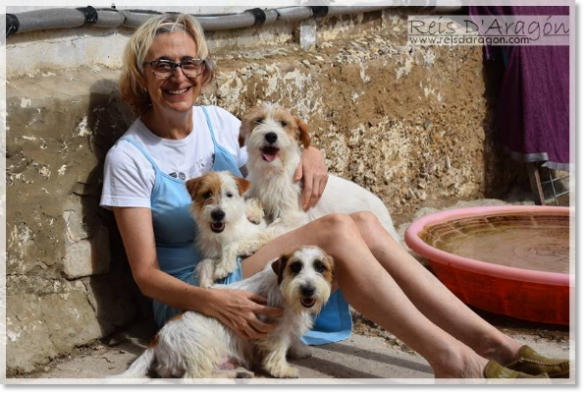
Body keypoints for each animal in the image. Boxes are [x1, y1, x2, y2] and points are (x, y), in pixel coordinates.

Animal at [113, 246, 334, 378]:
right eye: (295, 267)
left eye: (320, 267)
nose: (308, 289)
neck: (283, 289)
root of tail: (157, 339)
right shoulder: (275, 331)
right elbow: (278, 351)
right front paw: (282, 369)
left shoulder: (289, 324)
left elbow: (293, 339)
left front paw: (300, 349)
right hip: (202, 352)